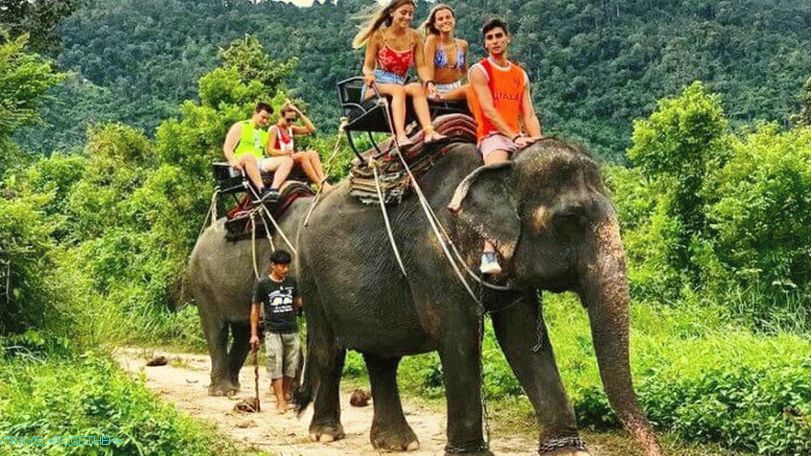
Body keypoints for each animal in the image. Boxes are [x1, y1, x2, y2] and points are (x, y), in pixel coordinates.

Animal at [185, 190, 312, 396]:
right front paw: (288, 394)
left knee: (244, 333)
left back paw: (234, 387)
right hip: (202, 282)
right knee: (216, 329)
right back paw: (223, 391)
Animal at [293, 138, 663, 456]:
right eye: (569, 219)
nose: (655, 449)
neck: (504, 166)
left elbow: (521, 338)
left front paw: (569, 450)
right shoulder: (434, 255)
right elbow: (460, 335)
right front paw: (470, 453)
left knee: (382, 354)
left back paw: (397, 443)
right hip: (309, 275)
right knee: (329, 349)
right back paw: (326, 434)